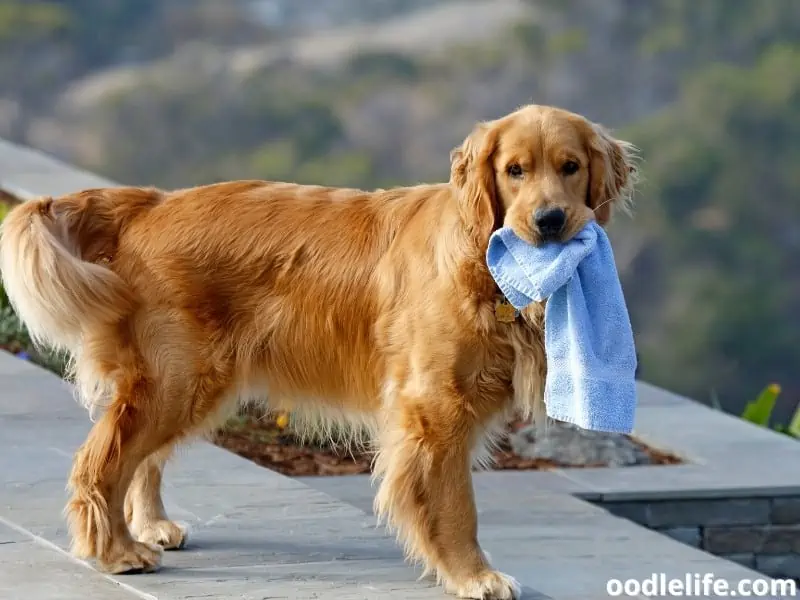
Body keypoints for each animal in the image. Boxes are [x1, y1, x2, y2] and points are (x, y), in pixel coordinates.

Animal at [1, 104, 636, 600]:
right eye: (514, 171)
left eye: (571, 167)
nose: (550, 220)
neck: (481, 254)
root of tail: (150, 204)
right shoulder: (434, 411)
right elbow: (457, 507)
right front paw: (472, 576)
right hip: (176, 380)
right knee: (102, 464)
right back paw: (115, 551)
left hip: (192, 384)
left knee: (141, 460)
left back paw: (151, 526)